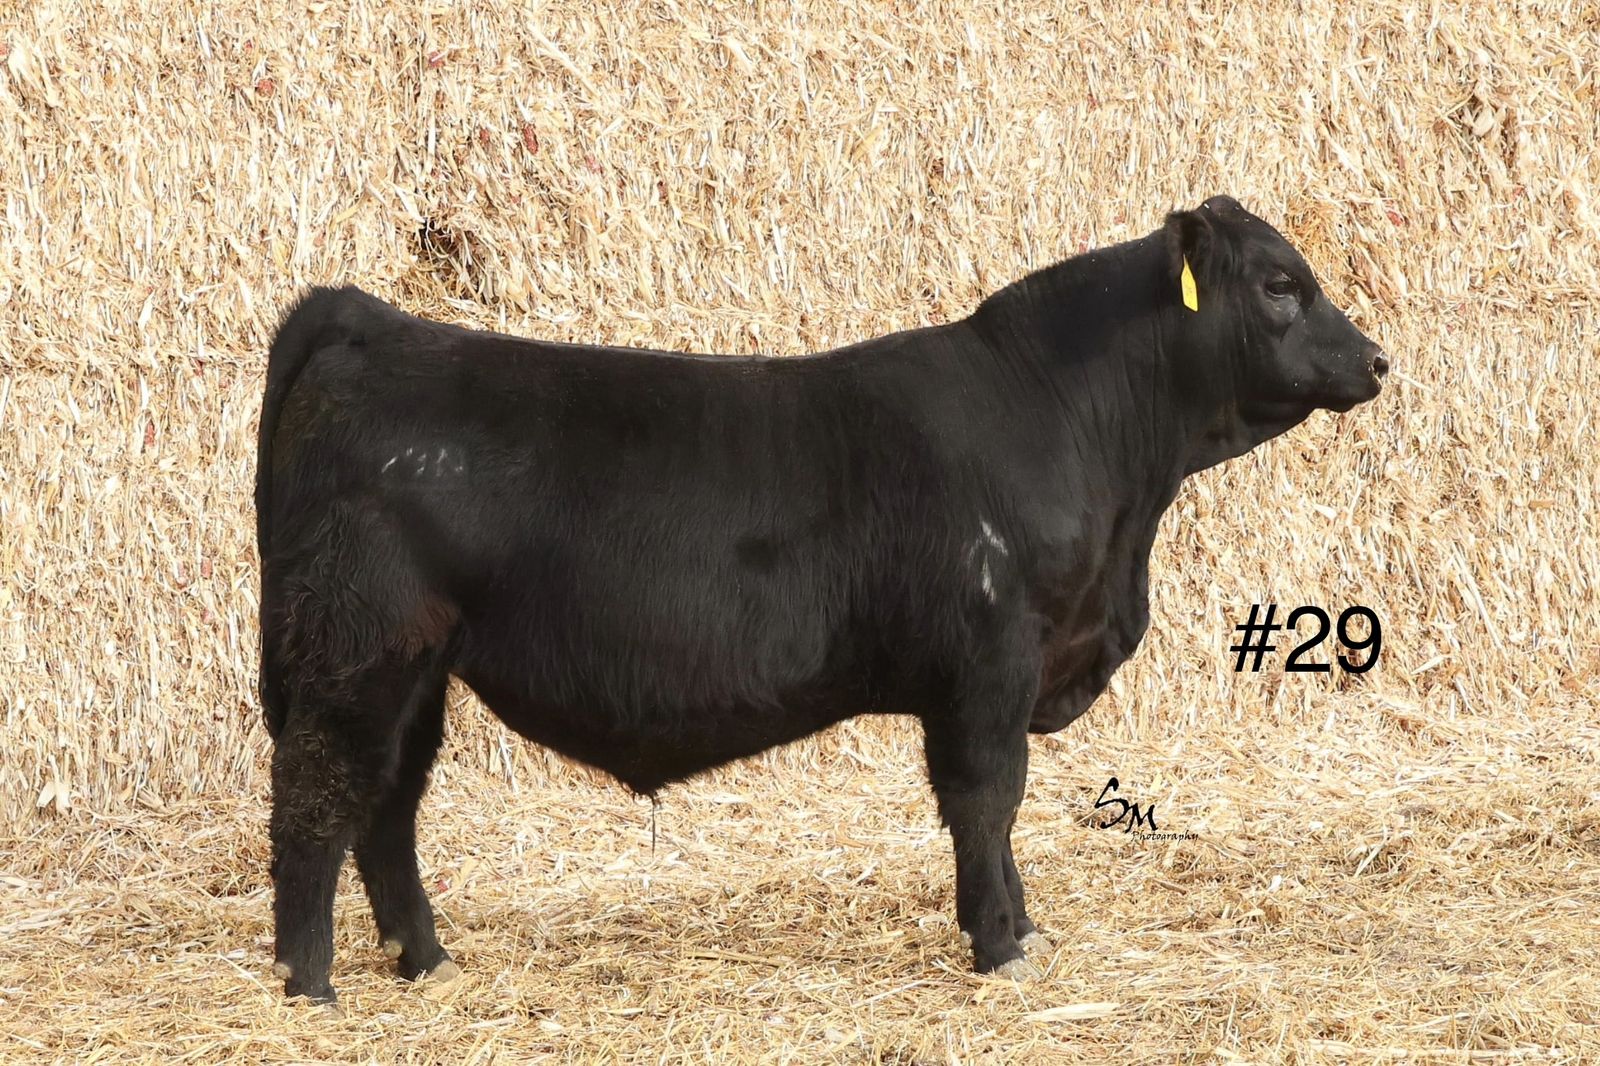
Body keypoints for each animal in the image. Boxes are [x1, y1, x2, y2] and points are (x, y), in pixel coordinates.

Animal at [256, 195, 1386, 1004]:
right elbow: (987, 799)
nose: (1376, 359)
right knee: (318, 795)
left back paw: (425, 960)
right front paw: (999, 943)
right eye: (1280, 285)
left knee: (387, 802)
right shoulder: (991, 661)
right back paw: (310, 985)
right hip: (357, 649)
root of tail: (375, 324)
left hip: (418, 666)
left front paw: (1021, 928)